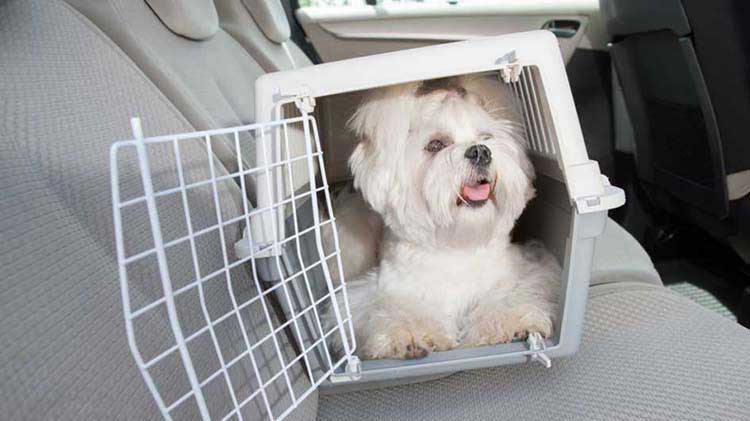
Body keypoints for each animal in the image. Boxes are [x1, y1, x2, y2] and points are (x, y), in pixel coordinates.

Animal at [334, 74, 560, 358]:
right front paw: (411, 335)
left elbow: (507, 296)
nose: (480, 151)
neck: (456, 245)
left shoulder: (520, 273)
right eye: (436, 145)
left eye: (487, 137)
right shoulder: (384, 291)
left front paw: (507, 323)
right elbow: (399, 309)